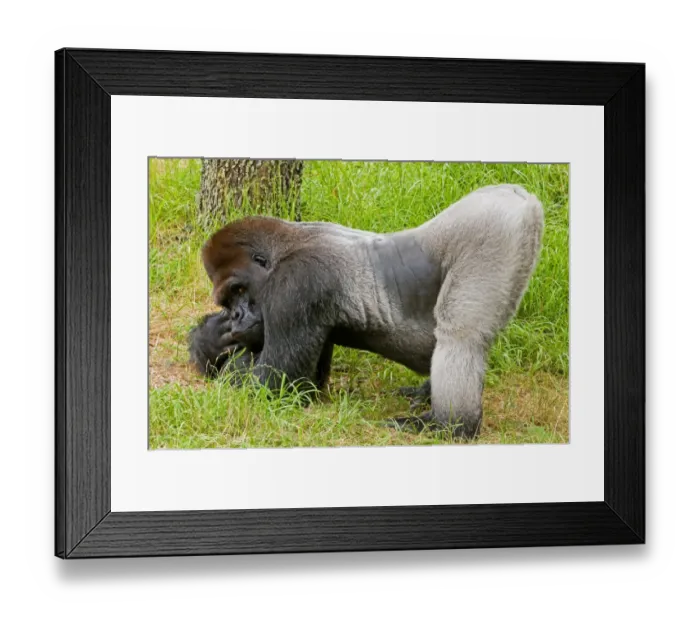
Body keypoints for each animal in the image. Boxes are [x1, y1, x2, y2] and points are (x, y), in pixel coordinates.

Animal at [189, 184, 544, 438]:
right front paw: (210, 340)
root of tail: (520, 196)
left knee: (461, 337)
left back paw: (450, 427)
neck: (287, 246)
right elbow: (306, 386)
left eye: (239, 290)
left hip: (493, 228)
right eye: (227, 302)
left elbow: (271, 387)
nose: (237, 316)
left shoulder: (295, 284)